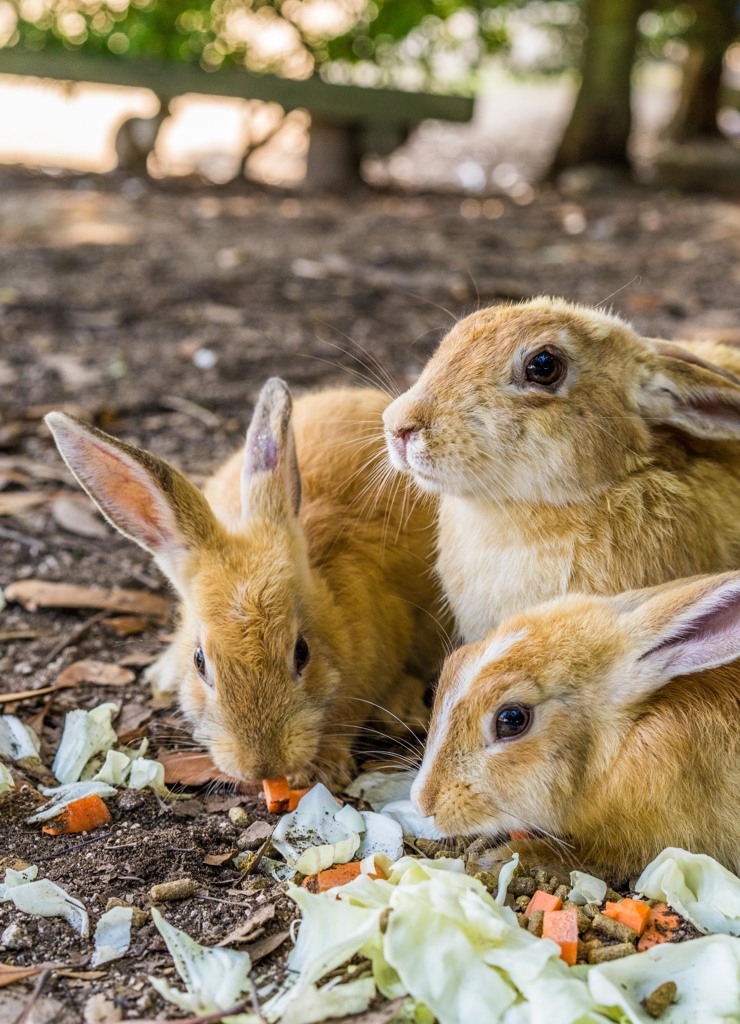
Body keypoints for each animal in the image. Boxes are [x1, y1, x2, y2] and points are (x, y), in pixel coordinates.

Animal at [411, 573, 740, 876]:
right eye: (454, 661)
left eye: (512, 719)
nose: (422, 803)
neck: (624, 742)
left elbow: (587, 858)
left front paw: (501, 858)